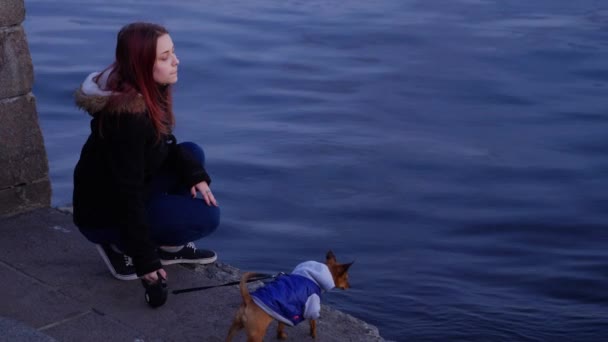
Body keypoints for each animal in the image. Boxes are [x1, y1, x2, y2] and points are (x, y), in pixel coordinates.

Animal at [226, 250, 354, 340]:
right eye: (346, 278)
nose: (350, 286)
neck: (313, 276)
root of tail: (249, 300)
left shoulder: (284, 311)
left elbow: (281, 325)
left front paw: (280, 335)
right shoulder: (312, 306)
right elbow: (313, 325)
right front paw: (313, 336)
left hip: (234, 328)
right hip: (256, 335)